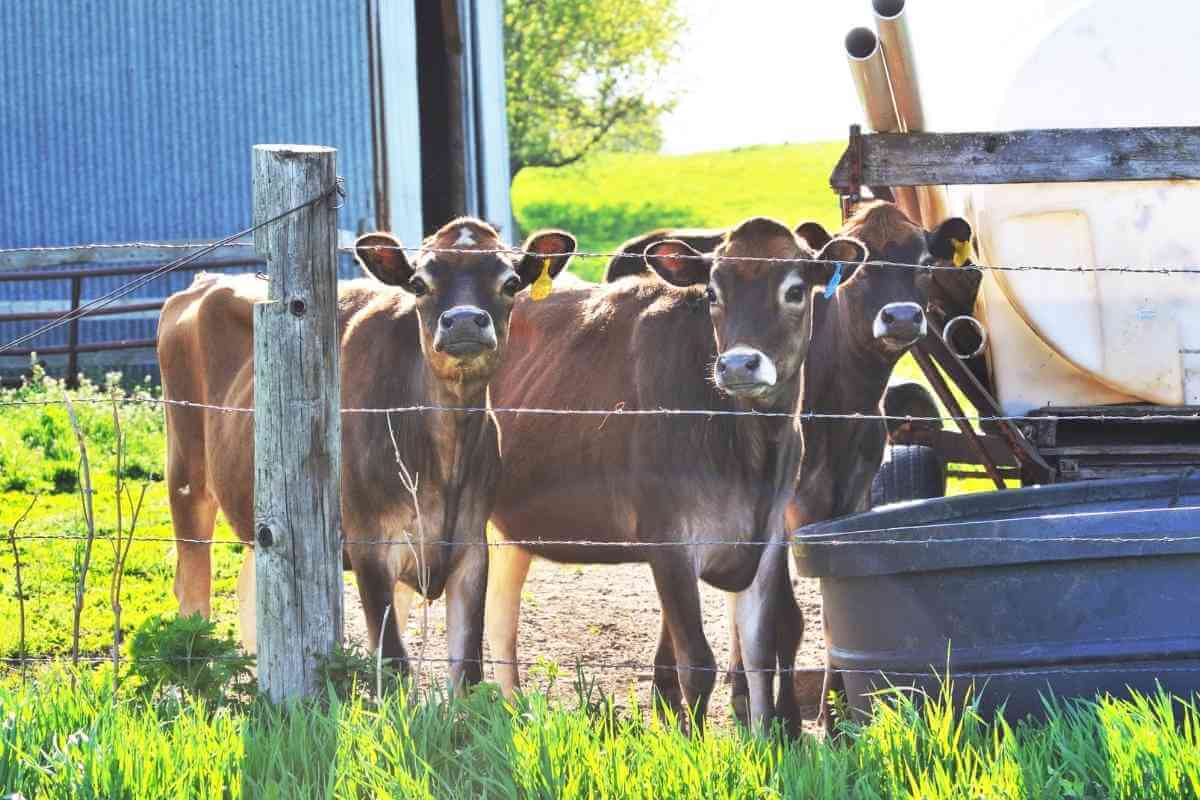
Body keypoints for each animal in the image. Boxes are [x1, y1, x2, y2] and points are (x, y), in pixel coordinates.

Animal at [156, 217, 576, 689]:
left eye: (510, 283)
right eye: (418, 283)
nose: (465, 320)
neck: (442, 456)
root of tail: (204, 282)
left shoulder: (470, 547)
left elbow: (467, 670)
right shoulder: (369, 545)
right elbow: (393, 661)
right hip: (186, 478)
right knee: (192, 591)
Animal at [479, 216, 868, 732]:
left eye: (795, 289)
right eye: (713, 293)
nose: (738, 363)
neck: (749, 450)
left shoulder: (765, 541)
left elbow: (760, 652)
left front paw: (768, 741)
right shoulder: (667, 541)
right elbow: (697, 664)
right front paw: (695, 744)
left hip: (507, 529)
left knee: (500, 620)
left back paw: (511, 711)